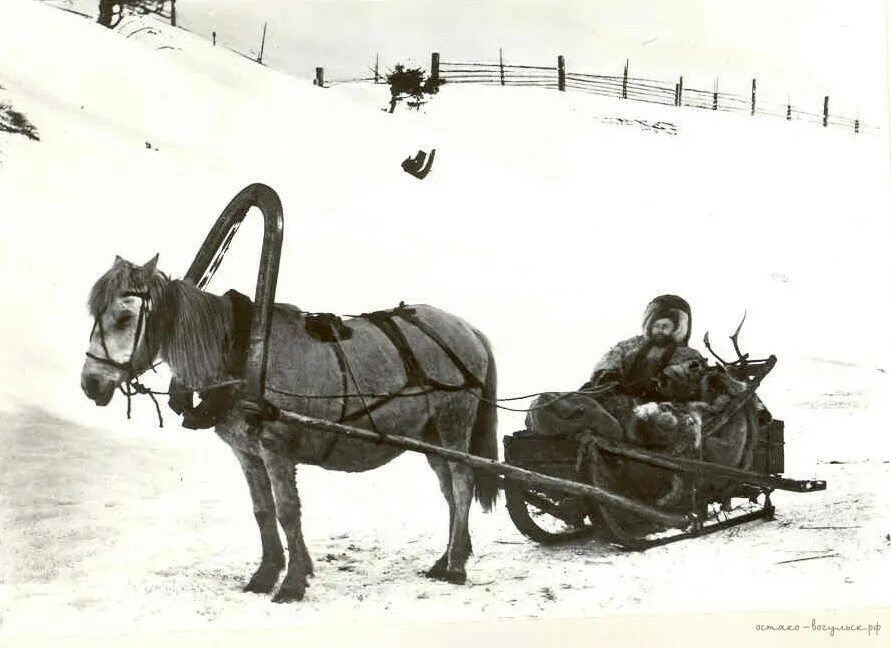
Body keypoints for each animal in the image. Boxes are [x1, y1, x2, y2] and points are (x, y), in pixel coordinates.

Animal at [79, 254, 498, 604]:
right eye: (94, 314)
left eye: (124, 318)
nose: (90, 384)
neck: (243, 355)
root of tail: (468, 329)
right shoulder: (246, 452)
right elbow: (262, 510)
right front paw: (266, 575)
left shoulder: (275, 446)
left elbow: (287, 511)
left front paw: (293, 581)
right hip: (430, 435)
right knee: (449, 489)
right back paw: (448, 558)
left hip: (453, 421)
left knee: (462, 482)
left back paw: (456, 567)